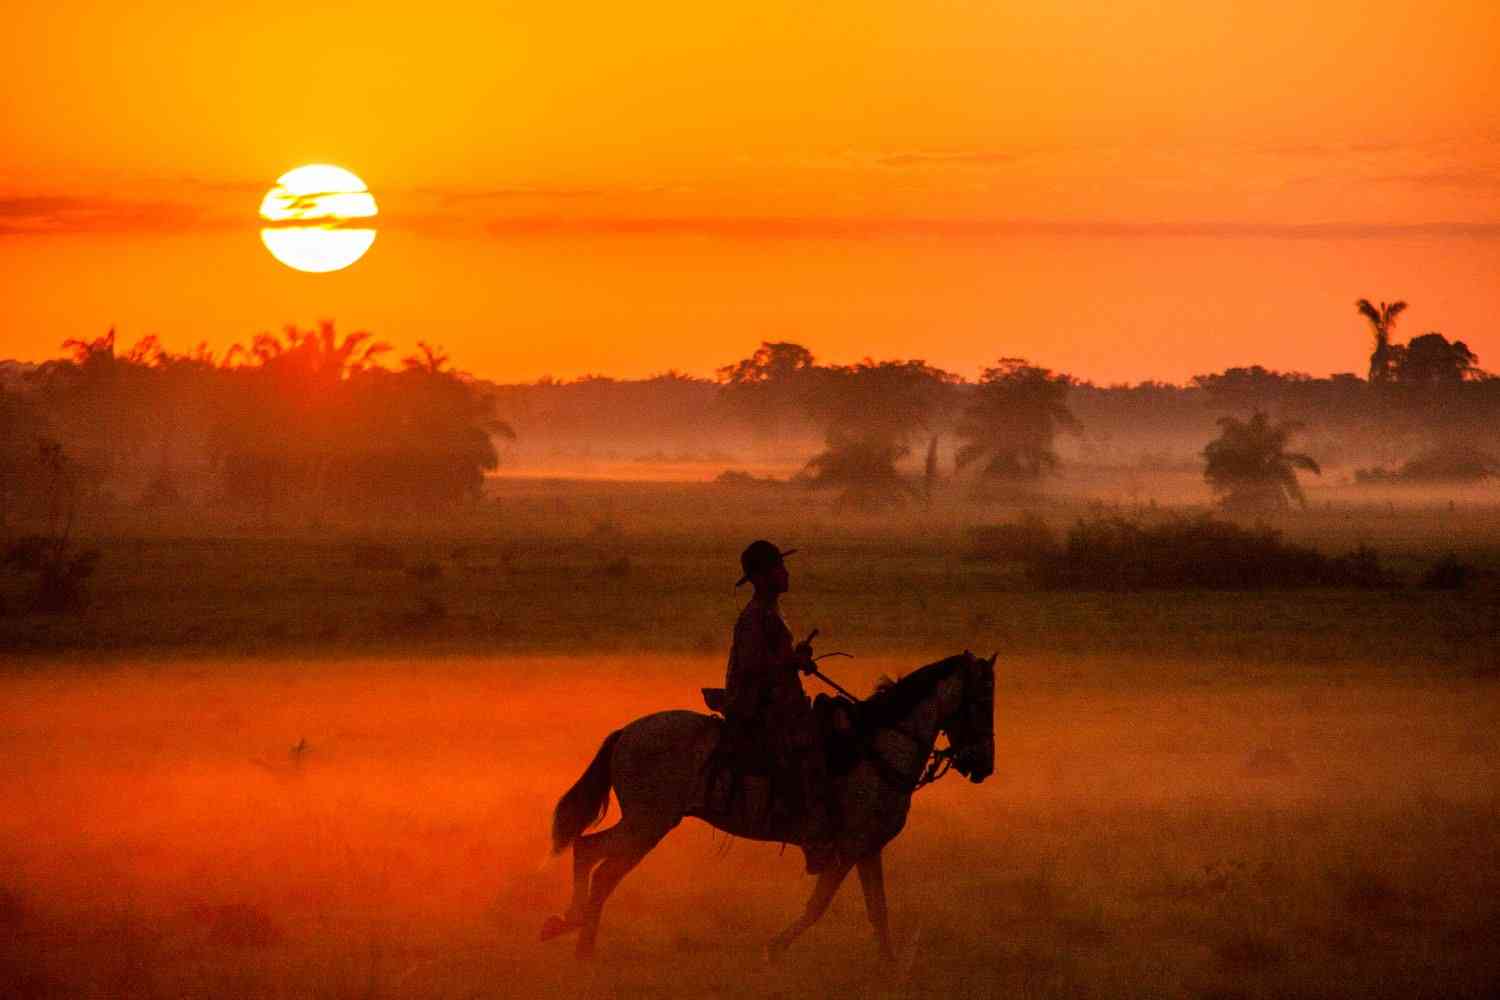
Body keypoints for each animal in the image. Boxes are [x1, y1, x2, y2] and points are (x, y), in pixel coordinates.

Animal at [543, 653, 996, 959]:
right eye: (980, 701)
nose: (983, 766)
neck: (880, 747)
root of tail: (627, 732)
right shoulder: (848, 847)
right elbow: (818, 905)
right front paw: (774, 948)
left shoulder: (869, 848)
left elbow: (878, 911)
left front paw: (889, 966)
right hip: (647, 823)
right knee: (599, 863)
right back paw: (577, 935)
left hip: (645, 823)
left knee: (592, 857)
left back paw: (573, 932)